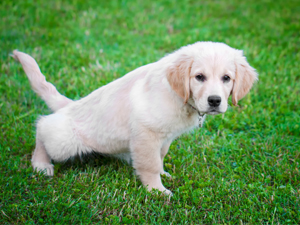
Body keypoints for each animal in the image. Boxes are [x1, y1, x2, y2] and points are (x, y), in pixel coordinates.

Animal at [13, 42, 258, 195]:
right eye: (199, 77)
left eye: (226, 78)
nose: (215, 101)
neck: (179, 96)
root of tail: (69, 105)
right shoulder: (146, 132)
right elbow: (150, 164)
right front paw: (157, 191)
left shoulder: (164, 137)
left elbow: (160, 156)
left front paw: (163, 174)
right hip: (65, 141)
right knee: (43, 127)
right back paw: (41, 164)